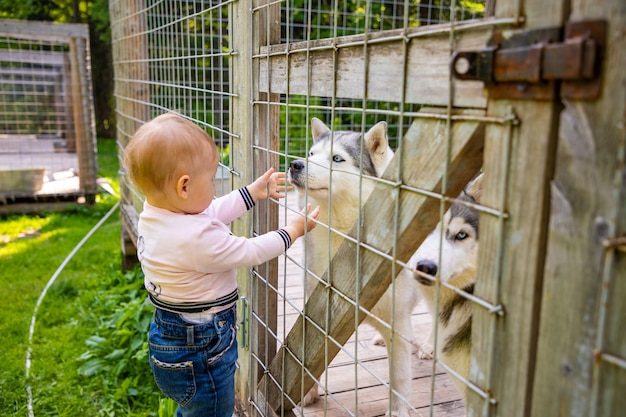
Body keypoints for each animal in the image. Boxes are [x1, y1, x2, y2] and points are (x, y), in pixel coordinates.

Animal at [290, 117, 422, 416]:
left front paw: (398, 410)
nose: (295, 164)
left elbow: (399, 376)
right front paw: (307, 391)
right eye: (311, 154)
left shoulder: (397, 320)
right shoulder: (318, 306)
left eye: (337, 159)